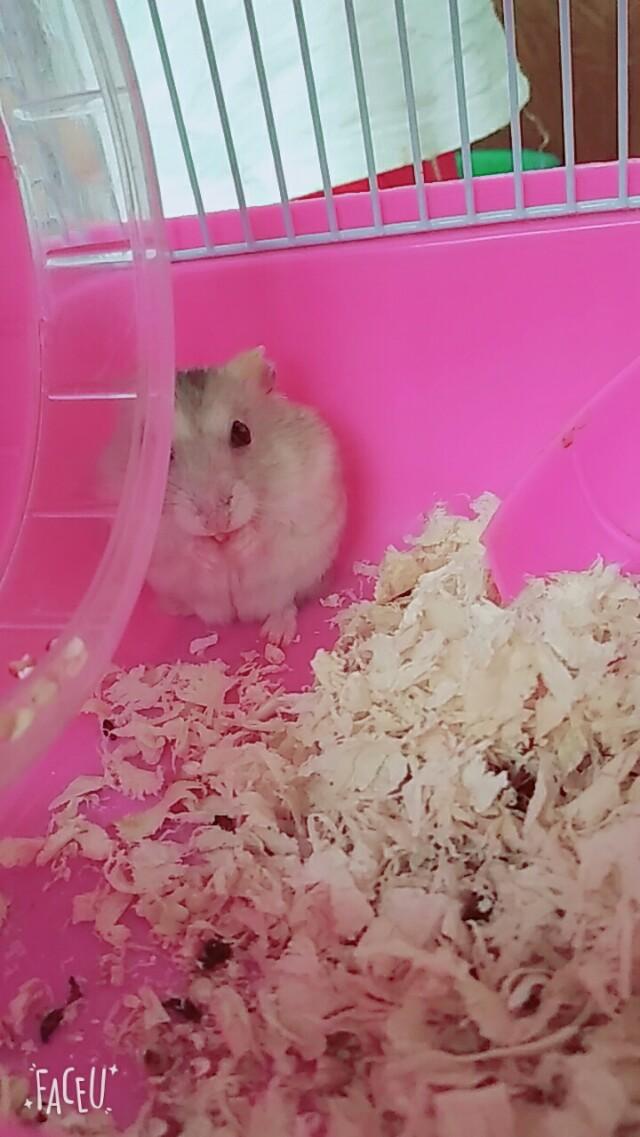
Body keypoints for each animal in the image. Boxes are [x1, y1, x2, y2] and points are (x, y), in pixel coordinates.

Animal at [146, 347, 346, 645]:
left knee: (285, 603)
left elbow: (268, 527)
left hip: (298, 577)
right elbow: (181, 542)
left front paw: (235, 547)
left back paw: (276, 636)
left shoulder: (305, 486)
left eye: (242, 432)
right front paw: (213, 557)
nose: (216, 522)